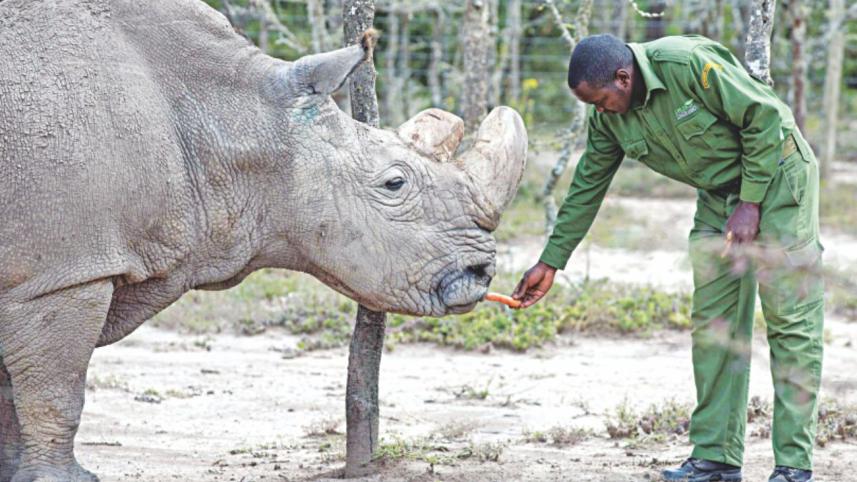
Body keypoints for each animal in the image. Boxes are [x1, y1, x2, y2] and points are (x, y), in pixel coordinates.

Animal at [0, 0, 527, 480]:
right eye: (394, 183)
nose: (482, 272)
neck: (233, 115)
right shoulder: (62, 271)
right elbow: (56, 391)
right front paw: (61, 480)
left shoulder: (32, 272)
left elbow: (12, 395)